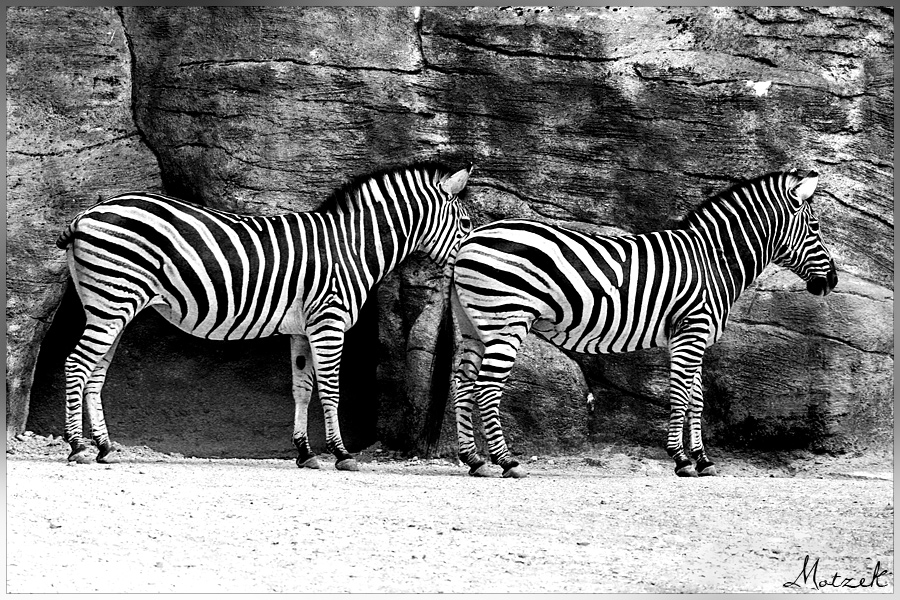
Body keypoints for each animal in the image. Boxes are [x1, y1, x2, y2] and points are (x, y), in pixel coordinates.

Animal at [56, 162, 473, 470]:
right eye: (467, 224)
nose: (472, 260)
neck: (352, 247)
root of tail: (86, 214)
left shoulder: (303, 329)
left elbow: (302, 389)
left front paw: (305, 453)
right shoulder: (328, 321)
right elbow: (331, 390)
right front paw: (341, 454)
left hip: (108, 306)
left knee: (95, 372)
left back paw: (104, 447)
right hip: (113, 301)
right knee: (77, 364)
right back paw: (77, 447)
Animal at [448, 169, 837, 478]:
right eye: (815, 226)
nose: (832, 281)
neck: (713, 260)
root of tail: (469, 239)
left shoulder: (691, 336)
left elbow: (697, 399)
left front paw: (703, 459)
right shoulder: (692, 330)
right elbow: (680, 396)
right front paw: (681, 459)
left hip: (473, 325)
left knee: (463, 384)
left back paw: (474, 460)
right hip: (506, 321)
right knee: (487, 388)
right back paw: (506, 461)